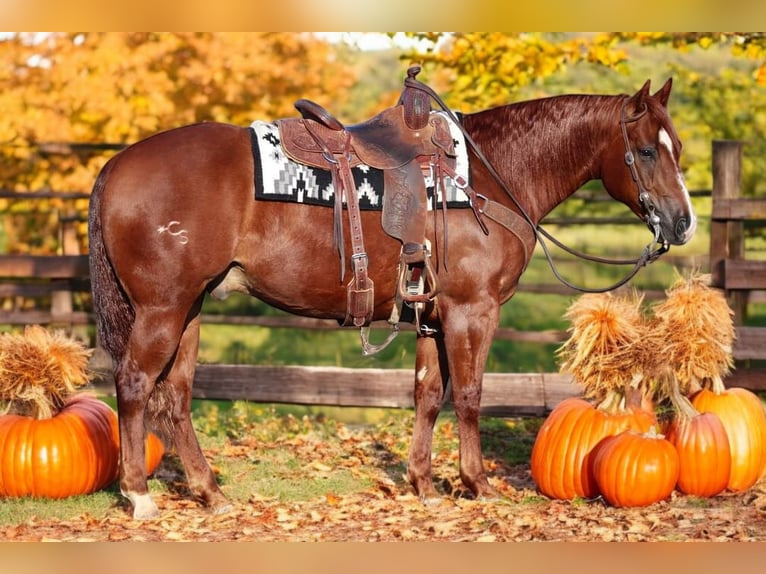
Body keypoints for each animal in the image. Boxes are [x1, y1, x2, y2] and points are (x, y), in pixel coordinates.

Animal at [88, 74, 696, 520]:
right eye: (645, 151)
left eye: (678, 147)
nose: (683, 222)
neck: (490, 178)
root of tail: (117, 163)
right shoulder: (472, 312)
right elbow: (469, 395)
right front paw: (476, 483)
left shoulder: (431, 316)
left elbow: (427, 394)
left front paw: (423, 483)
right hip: (163, 310)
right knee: (135, 385)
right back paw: (140, 494)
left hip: (191, 308)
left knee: (176, 395)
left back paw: (209, 490)